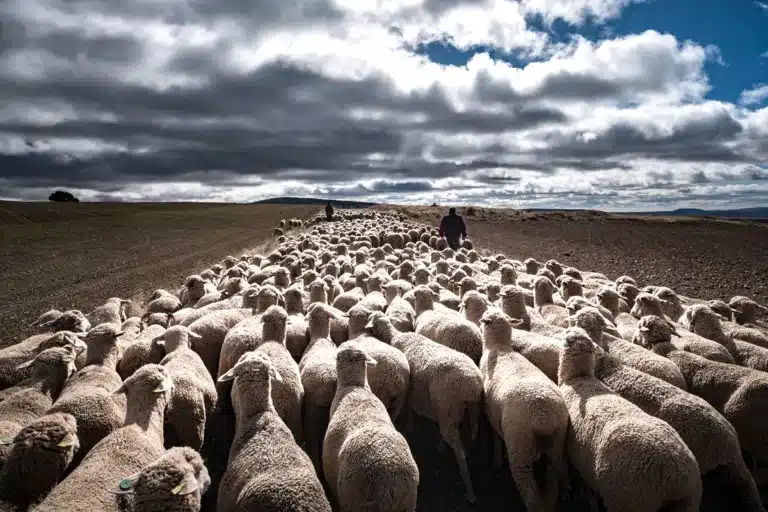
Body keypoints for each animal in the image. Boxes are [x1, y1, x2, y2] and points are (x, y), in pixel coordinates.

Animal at [366, 312, 481, 503]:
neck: (395, 336)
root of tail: (472, 385)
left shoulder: (407, 393)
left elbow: (408, 410)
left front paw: (410, 426)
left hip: (447, 408)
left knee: (457, 448)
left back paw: (470, 491)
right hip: (468, 409)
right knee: (472, 431)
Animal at [479, 310, 568, 512]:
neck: (499, 347)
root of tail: (543, 416)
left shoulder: (490, 412)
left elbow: (495, 436)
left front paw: (496, 461)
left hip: (520, 446)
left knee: (530, 493)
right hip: (556, 446)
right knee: (552, 483)